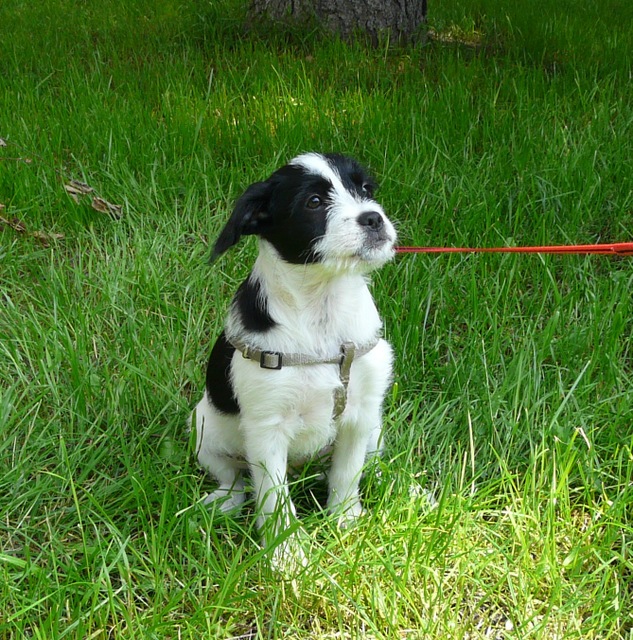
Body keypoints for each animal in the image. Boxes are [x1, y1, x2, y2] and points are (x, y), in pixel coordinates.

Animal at [191, 152, 396, 561]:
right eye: (313, 202)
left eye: (366, 189)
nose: (373, 218)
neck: (323, 314)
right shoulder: (267, 431)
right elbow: (273, 497)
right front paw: (286, 555)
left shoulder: (359, 416)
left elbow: (347, 473)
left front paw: (346, 520)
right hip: (205, 429)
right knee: (234, 481)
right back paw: (221, 502)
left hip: (374, 428)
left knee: (374, 461)